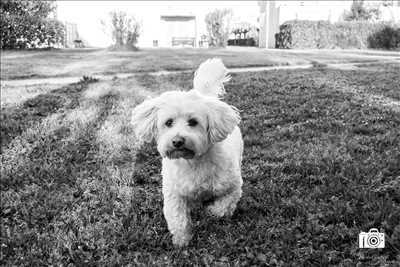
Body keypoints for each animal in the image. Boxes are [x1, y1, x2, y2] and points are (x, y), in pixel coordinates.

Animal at [133, 58, 242, 247]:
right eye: (168, 122)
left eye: (193, 122)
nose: (177, 141)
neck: (192, 161)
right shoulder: (174, 193)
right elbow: (177, 217)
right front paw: (182, 240)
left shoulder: (233, 185)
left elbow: (223, 206)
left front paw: (212, 211)